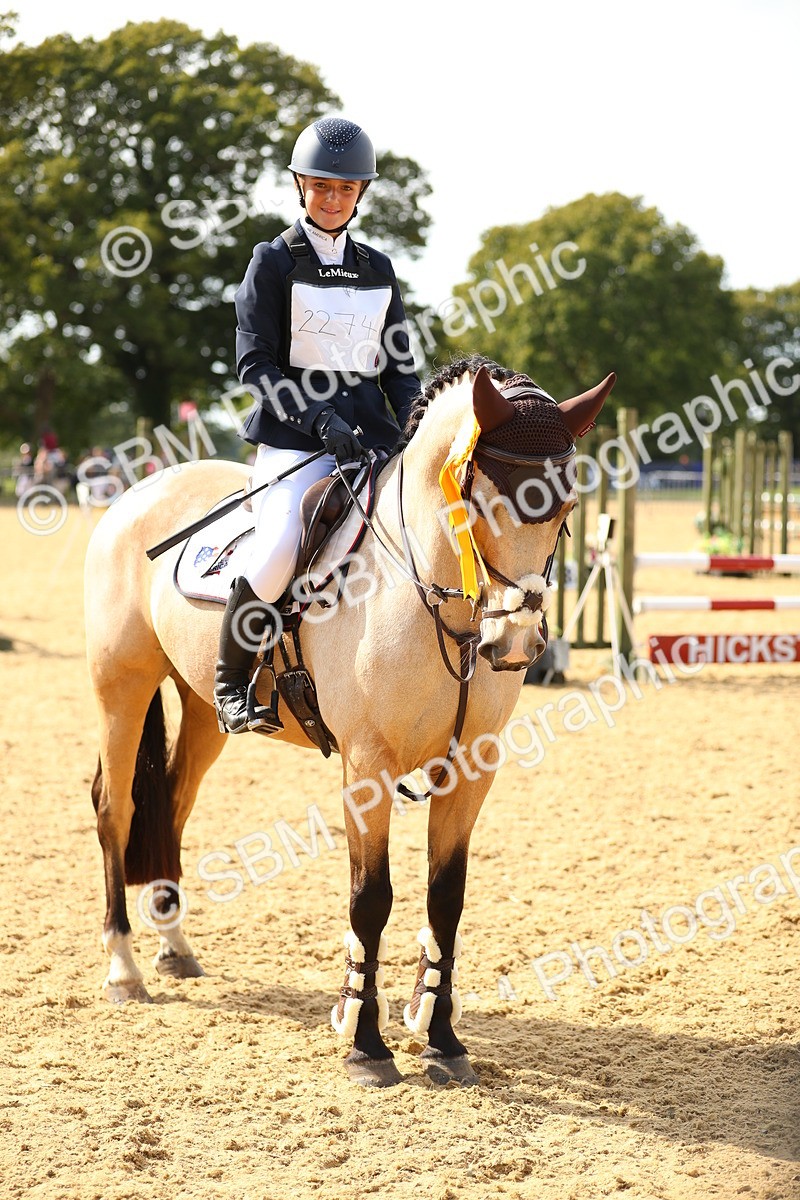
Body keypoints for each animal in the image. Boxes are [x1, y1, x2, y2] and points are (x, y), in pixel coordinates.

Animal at [84, 356, 614, 1087]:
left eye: (565, 509)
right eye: (479, 503)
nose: (515, 643)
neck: (427, 592)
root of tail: (141, 489)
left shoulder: (472, 767)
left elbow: (445, 897)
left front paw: (441, 1037)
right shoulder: (368, 767)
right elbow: (372, 898)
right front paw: (366, 1043)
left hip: (203, 713)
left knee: (173, 803)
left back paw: (175, 946)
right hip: (122, 688)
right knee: (118, 809)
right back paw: (124, 968)